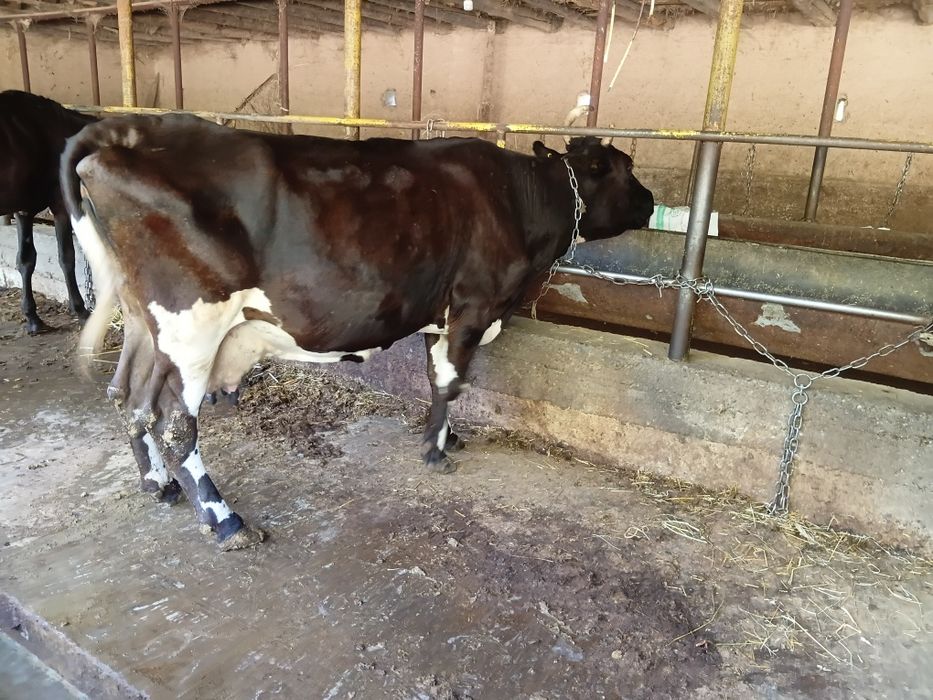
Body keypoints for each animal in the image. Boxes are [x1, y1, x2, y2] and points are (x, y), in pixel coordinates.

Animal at [0, 90, 96, 334]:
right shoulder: (60, 204)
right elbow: (67, 257)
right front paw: (80, 309)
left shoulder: (23, 209)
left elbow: (26, 260)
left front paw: (33, 318)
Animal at [61, 112, 654, 550]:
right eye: (625, 168)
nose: (650, 202)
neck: (517, 197)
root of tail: (130, 130)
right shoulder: (474, 303)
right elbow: (452, 380)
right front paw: (435, 451)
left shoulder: (439, 309)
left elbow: (436, 373)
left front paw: (445, 435)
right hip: (190, 327)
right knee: (174, 423)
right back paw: (227, 521)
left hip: (144, 325)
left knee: (127, 396)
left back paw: (156, 484)